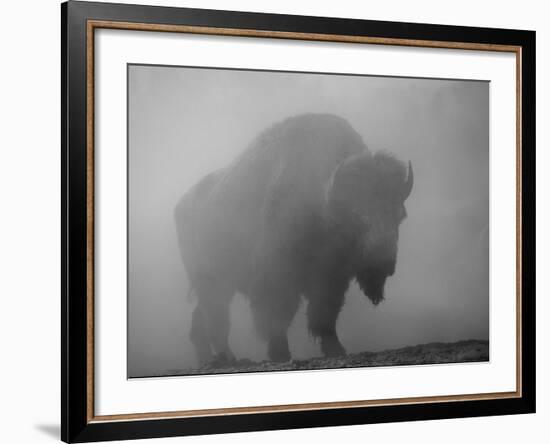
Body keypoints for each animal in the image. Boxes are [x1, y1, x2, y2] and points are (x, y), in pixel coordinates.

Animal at [176, 113, 414, 364]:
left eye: (399, 215)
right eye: (357, 216)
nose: (384, 262)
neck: (325, 201)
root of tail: (180, 206)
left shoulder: (331, 279)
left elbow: (324, 316)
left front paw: (336, 349)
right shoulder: (277, 277)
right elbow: (277, 316)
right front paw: (280, 354)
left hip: (220, 285)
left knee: (202, 321)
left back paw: (211, 360)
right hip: (213, 283)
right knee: (216, 320)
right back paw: (229, 358)